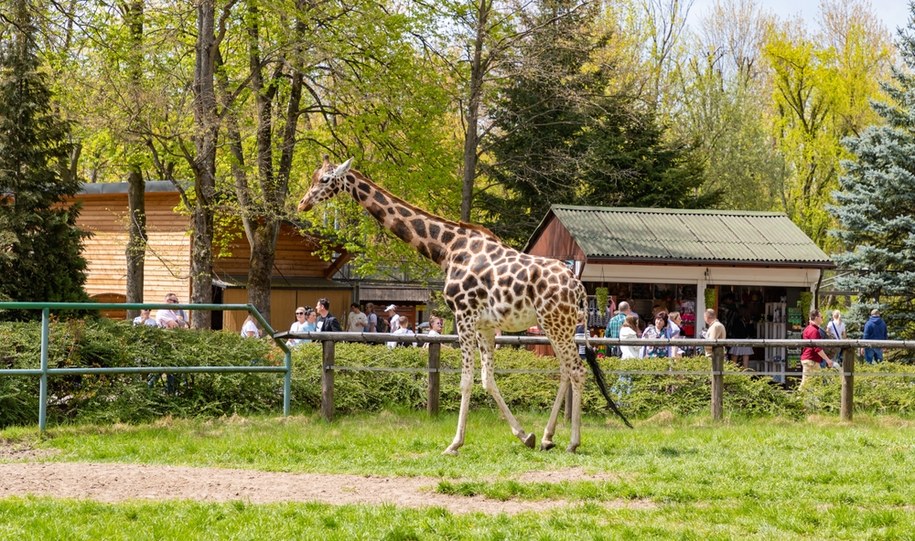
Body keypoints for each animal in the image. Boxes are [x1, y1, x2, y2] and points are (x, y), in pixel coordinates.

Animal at [300, 158, 628, 454]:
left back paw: (573, 442)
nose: (303, 203)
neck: (446, 249)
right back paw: (549, 438)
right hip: (556, 326)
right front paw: (526, 436)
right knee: (564, 370)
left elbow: (466, 381)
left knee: (576, 370)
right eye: (313, 177)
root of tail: (579, 286)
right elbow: (488, 380)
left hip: (556, 324)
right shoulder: (485, 326)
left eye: (325, 180)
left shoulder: (464, 316)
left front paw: (454, 443)